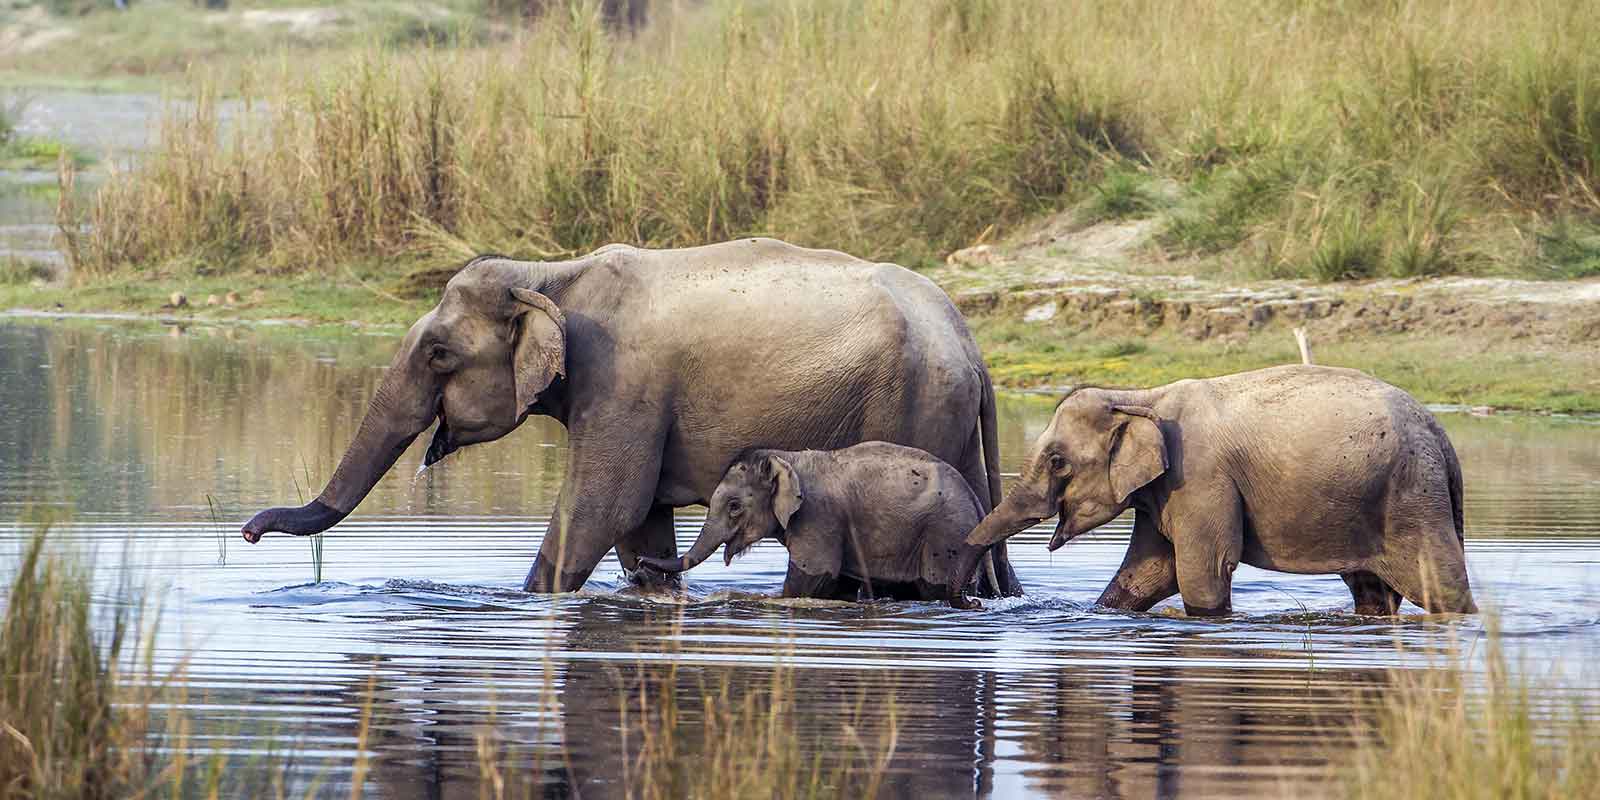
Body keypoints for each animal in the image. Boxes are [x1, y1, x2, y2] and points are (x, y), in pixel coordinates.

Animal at [639, 442, 994, 602]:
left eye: (735, 506)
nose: (640, 565)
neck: (788, 458)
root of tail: (978, 502)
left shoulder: (819, 518)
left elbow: (811, 578)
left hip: (945, 536)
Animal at [949, 365, 1477, 615]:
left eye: (1058, 460)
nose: (973, 603)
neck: (1141, 397)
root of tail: (1441, 435)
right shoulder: (1164, 490)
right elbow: (1148, 572)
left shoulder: (1201, 477)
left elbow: (1201, 569)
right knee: (1371, 590)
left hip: (1412, 497)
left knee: (1440, 583)